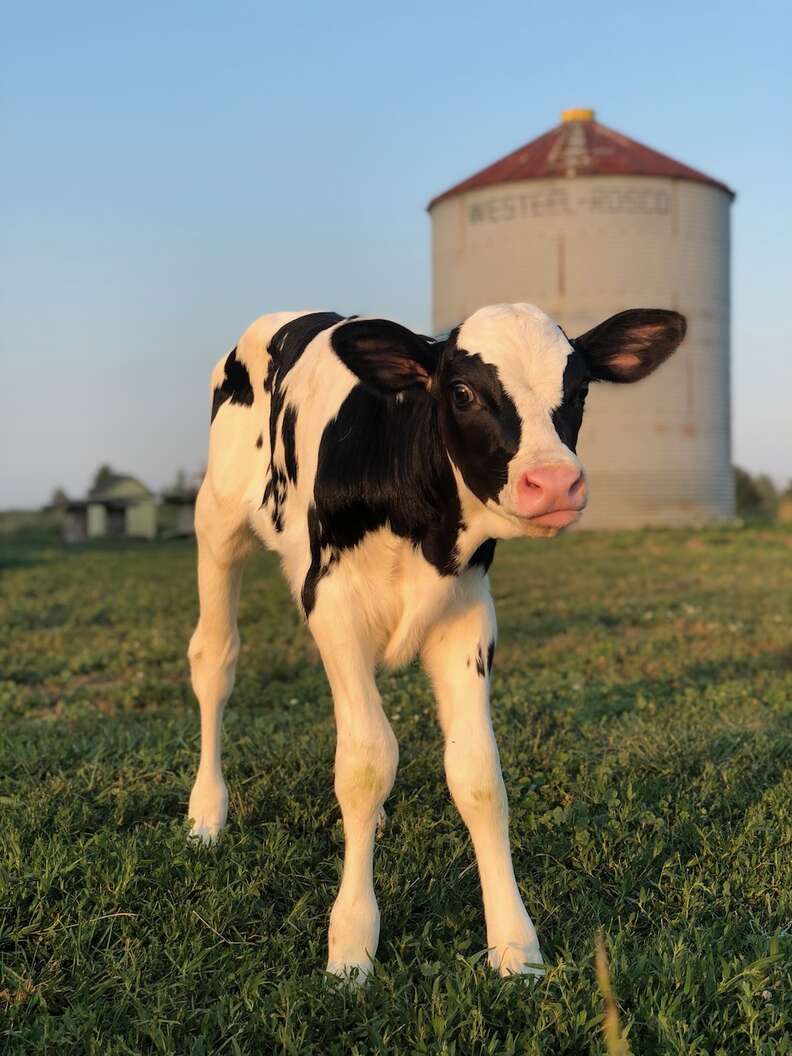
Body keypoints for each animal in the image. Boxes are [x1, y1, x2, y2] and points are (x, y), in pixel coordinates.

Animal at [186, 302, 685, 980]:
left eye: (580, 389)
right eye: (463, 391)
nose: (555, 483)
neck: (419, 513)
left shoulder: (468, 617)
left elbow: (477, 774)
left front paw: (514, 943)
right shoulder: (333, 606)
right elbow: (366, 762)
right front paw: (352, 943)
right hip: (217, 521)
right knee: (215, 660)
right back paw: (206, 811)